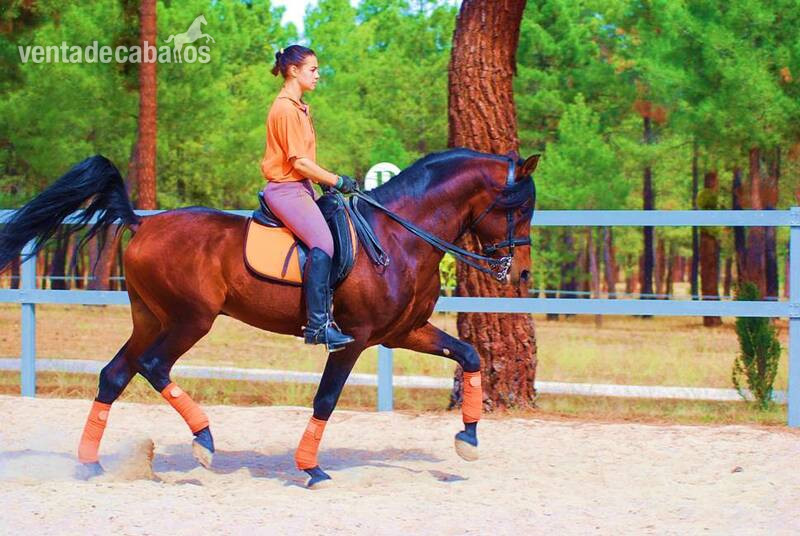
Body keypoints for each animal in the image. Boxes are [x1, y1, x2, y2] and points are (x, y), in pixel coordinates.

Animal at [0, 148, 538, 488]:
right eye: (521, 206)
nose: (522, 273)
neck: (400, 237)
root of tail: (143, 223)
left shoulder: (403, 332)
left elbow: (469, 356)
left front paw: (468, 438)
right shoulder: (355, 339)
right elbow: (326, 399)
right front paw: (311, 469)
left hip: (150, 318)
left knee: (114, 375)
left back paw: (91, 466)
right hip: (190, 320)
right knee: (154, 367)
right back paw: (204, 441)